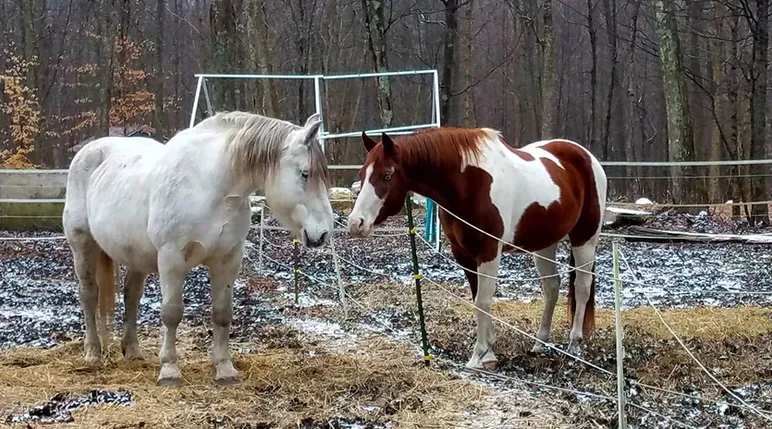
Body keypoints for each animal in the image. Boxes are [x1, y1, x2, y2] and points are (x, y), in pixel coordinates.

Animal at [63, 111, 334, 385]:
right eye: (305, 173)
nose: (322, 233)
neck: (210, 186)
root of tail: (89, 151)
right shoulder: (171, 258)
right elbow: (171, 312)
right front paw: (169, 370)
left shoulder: (228, 259)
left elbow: (222, 313)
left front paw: (224, 369)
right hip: (83, 246)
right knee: (89, 295)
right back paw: (93, 353)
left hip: (136, 256)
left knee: (132, 295)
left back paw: (133, 351)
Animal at [347, 128, 607, 370]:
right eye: (363, 174)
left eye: (387, 175)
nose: (355, 224)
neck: (469, 183)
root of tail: (586, 156)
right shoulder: (463, 254)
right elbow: (477, 299)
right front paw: (489, 354)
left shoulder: (488, 252)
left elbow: (483, 301)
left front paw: (478, 355)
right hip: (544, 244)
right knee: (552, 288)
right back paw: (539, 343)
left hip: (585, 238)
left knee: (582, 287)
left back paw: (574, 345)